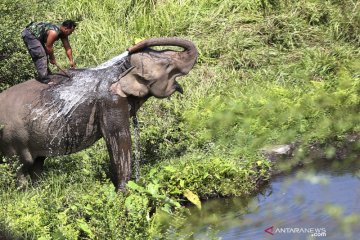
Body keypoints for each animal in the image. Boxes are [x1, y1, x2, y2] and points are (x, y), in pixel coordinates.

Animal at [0, 38, 197, 191]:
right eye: (168, 65)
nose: (130, 47)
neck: (121, 69)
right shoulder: (111, 102)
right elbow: (119, 138)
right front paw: (123, 192)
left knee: (37, 164)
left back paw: (37, 191)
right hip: (13, 138)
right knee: (21, 166)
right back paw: (23, 193)